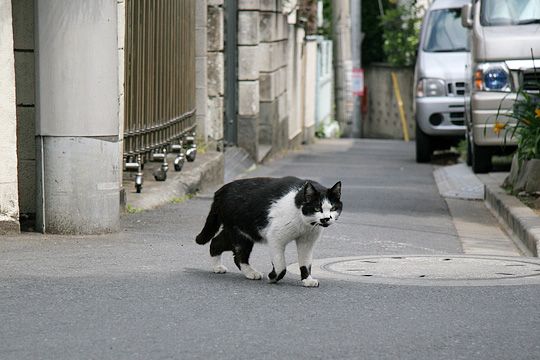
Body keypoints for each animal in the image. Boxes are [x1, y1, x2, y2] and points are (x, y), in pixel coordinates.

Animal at [194, 176, 342, 288]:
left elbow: (306, 262)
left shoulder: (307, 241)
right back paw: (249, 272)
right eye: (317, 208)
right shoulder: (276, 237)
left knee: (216, 243)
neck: (304, 223)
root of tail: (220, 191)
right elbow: (281, 265)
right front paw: (273, 277)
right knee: (238, 255)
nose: (326, 219)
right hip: (240, 233)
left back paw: (218, 267)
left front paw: (307, 279)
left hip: (241, 232)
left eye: (333, 208)